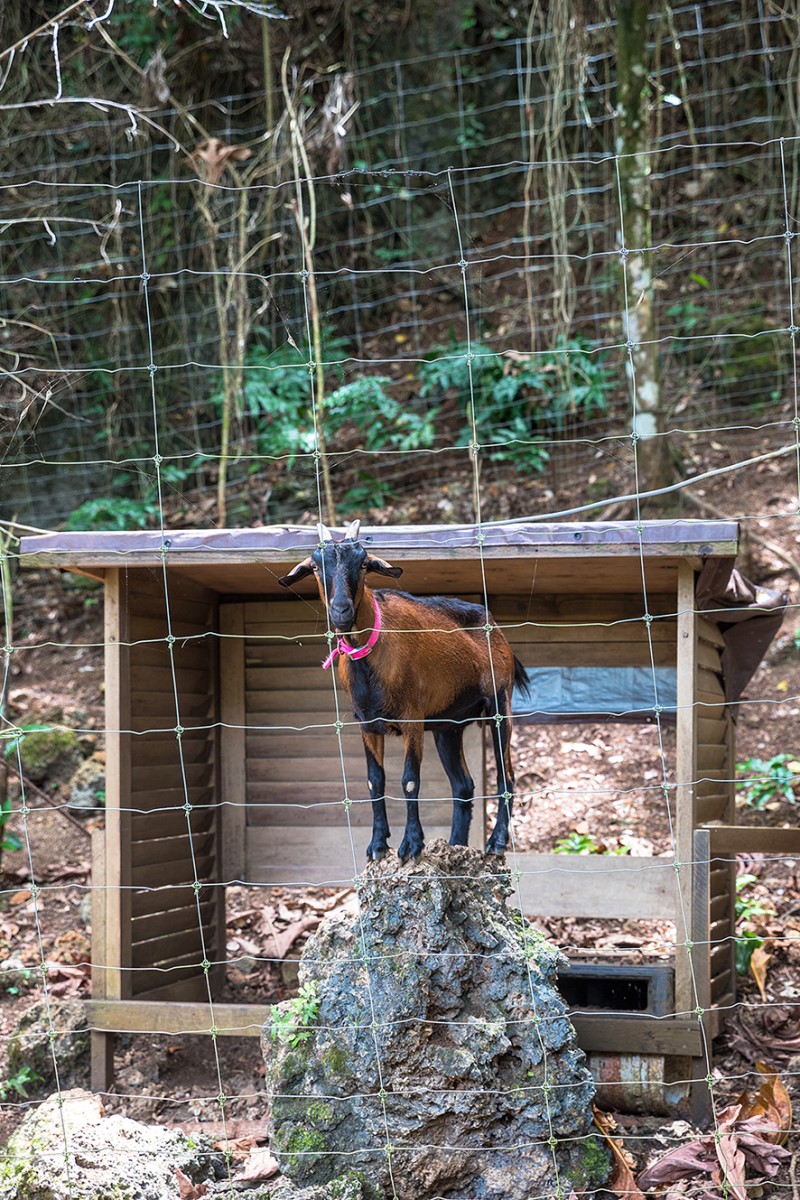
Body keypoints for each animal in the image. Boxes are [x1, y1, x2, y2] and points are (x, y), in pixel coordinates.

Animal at [278, 520, 527, 859]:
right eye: (315, 566)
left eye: (364, 563)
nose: (341, 611)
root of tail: (497, 630)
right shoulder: (367, 723)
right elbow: (375, 781)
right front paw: (377, 844)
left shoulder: (412, 717)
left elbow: (409, 780)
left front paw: (411, 844)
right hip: (448, 726)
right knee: (463, 786)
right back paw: (455, 845)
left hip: (499, 705)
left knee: (507, 775)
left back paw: (496, 842)